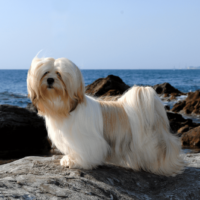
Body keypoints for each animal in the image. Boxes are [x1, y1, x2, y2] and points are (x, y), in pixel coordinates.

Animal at [27, 57, 184, 176]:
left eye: (59, 74)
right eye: (46, 72)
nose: (50, 80)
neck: (64, 107)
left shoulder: (86, 140)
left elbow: (85, 152)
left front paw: (76, 162)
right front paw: (69, 159)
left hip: (149, 142)